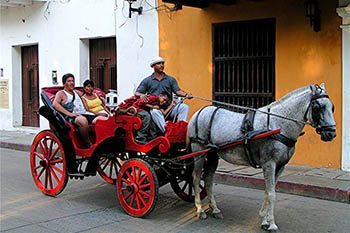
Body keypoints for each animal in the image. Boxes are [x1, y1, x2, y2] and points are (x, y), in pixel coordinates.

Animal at [189, 83, 336, 231]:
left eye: (332, 107)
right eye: (317, 108)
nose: (332, 133)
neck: (278, 124)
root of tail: (200, 112)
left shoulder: (280, 166)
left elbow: (268, 191)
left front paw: (264, 220)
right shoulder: (269, 163)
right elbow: (271, 193)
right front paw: (272, 224)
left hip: (213, 154)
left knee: (208, 178)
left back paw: (215, 209)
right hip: (199, 152)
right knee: (195, 178)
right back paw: (200, 210)